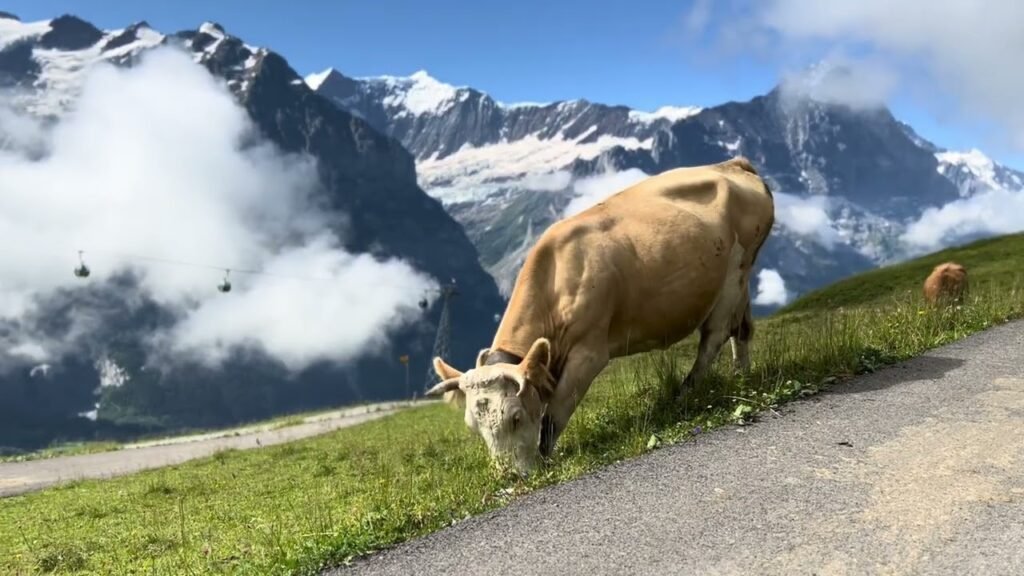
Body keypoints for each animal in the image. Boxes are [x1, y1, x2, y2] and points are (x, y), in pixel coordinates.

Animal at [426, 157, 776, 475]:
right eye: (473, 425)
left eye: (515, 417)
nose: (510, 476)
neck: (555, 278)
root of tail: (731, 164)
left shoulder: (589, 353)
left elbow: (553, 416)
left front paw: (547, 459)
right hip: (741, 278)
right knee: (741, 330)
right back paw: (742, 378)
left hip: (734, 272)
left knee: (714, 336)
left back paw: (684, 395)